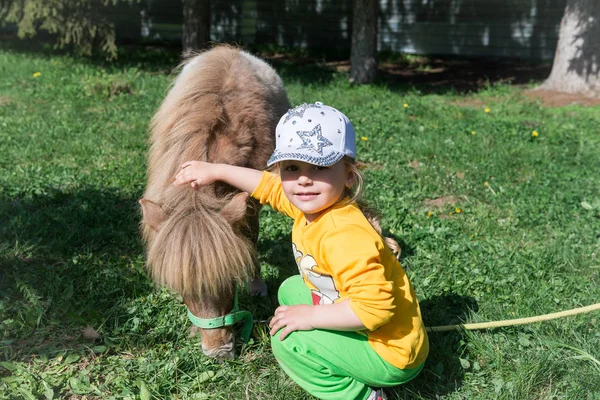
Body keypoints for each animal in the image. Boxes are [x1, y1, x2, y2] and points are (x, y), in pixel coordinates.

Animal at [141, 46, 290, 360]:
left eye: (228, 280)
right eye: (183, 289)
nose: (219, 352)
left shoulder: (250, 201)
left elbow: (250, 238)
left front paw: (256, 285)